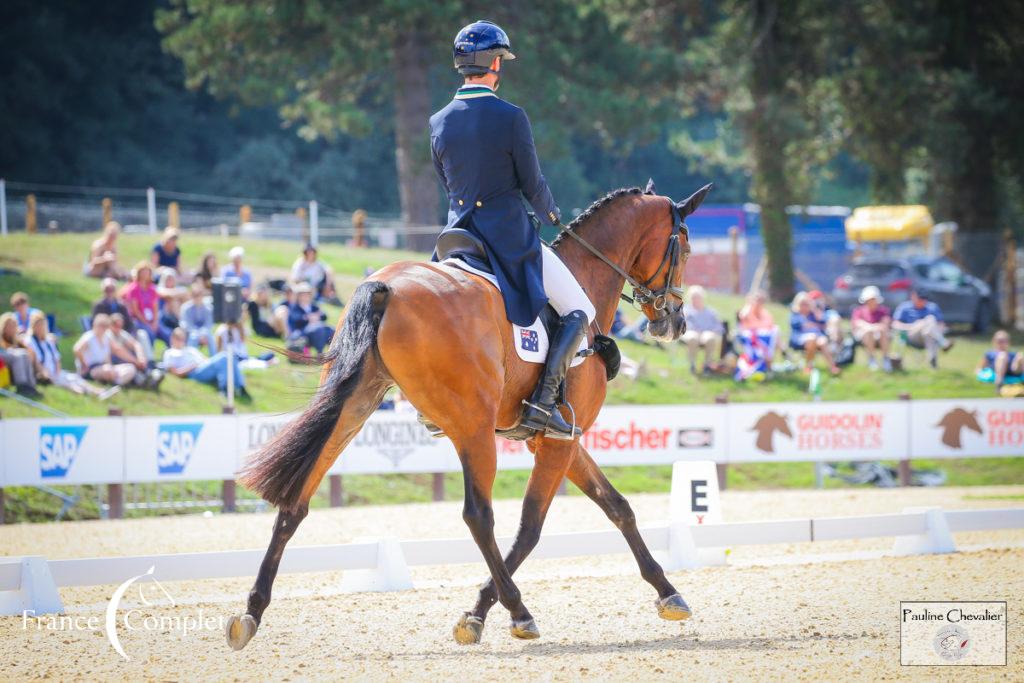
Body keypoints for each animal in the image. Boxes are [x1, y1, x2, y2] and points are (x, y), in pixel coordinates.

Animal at [229, 179, 712, 651]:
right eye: (686, 248)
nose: (675, 322)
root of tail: (384, 286)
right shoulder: (558, 439)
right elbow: (531, 527)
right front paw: (479, 612)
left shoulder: (563, 438)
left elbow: (618, 506)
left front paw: (669, 593)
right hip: (473, 428)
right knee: (478, 515)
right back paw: (520, 612)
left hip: (356, 404)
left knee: (296, 502)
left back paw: (251, 612)